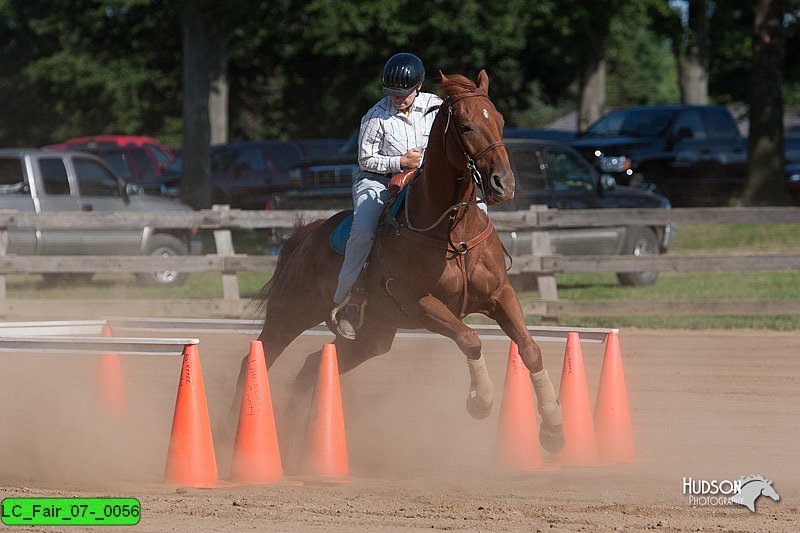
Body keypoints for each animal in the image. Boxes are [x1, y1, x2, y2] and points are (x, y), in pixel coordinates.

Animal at [234, 67, 564, 458]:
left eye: (499, 120)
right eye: (465, 125)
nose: (504, 184)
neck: (452, 231)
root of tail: (305, 235)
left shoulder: (500, 295)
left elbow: (530, 349)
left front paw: (554, 427)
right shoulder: (419, 303)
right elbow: (470, 339)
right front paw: (480, 401)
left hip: (371, 337)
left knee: (313, 365)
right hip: (289, 316)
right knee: (255, 361)